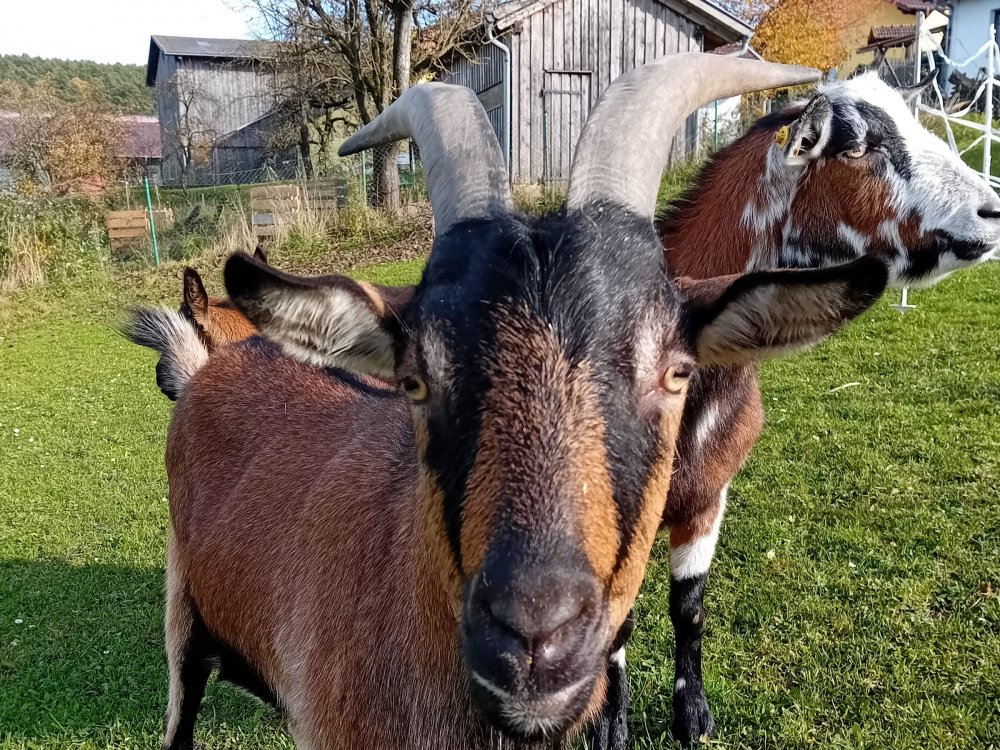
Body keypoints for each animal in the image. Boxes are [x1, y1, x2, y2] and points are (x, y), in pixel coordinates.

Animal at [588, 73, 1000, 747]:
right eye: (854, 146)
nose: (990, 212)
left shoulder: (711, 496)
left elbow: (688, 607)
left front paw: (693, 717)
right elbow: (615, 623)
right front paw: (609, 728)